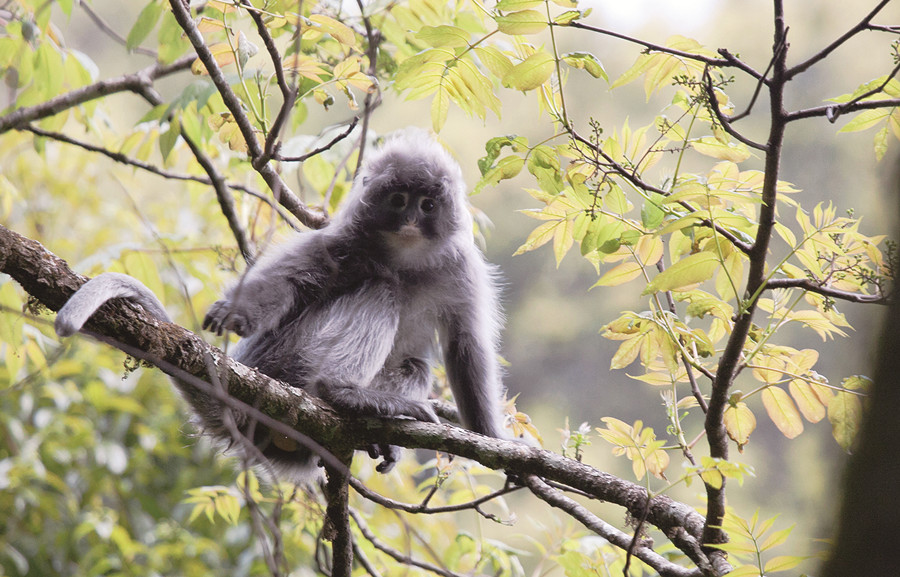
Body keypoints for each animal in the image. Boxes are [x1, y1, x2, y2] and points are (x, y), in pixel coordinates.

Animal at [54, 130, 506, 476]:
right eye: (399, 200)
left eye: (427, 205)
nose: (411, 220)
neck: (402, 261)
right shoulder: (343, 240)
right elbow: (291, 283)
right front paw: (235, 312)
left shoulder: (461, 268)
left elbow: (466, 344)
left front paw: (492, 438)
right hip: (283, 360)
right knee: (380, 292)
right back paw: (343, 393)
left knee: (413, 362)